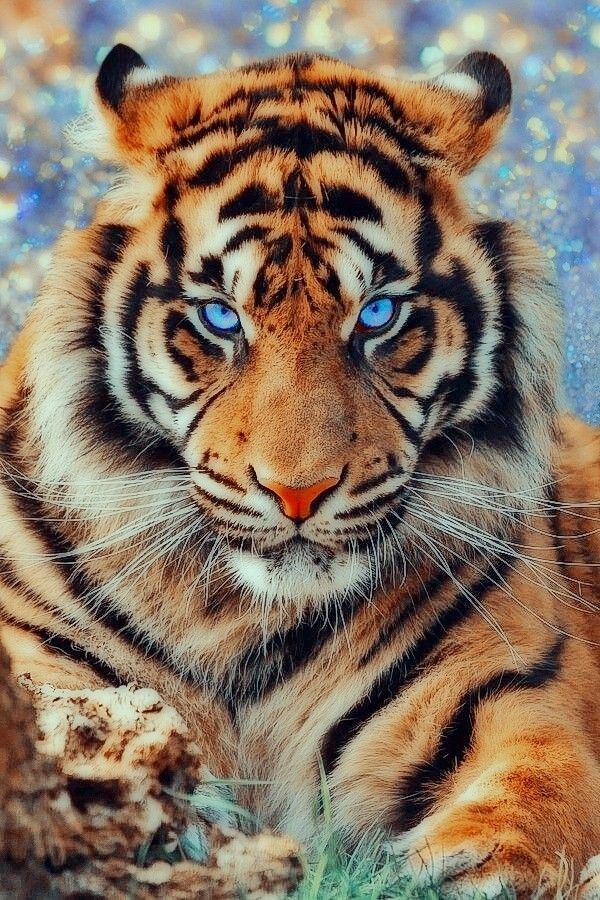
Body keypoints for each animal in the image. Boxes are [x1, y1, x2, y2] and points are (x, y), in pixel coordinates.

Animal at [0, 42, 599, 898]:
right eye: (221, 317)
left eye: (377, 315)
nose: (298, 493)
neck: (235, 617)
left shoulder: (506, 691)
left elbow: (535, 793)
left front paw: (456, 869)